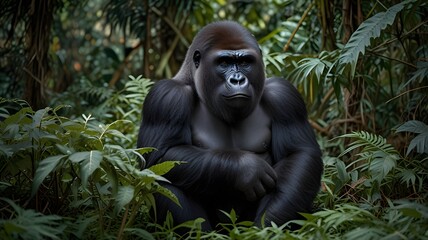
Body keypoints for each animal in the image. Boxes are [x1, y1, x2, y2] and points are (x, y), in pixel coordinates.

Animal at [139, 21, 322, 231]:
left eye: (245, 62)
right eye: (224, 63)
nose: (237, 80)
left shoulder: (284, 95)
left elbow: (298, 154)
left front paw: (267, 227)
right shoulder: (166, 97)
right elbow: (159, 156)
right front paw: (246, 169)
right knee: (160, 177)